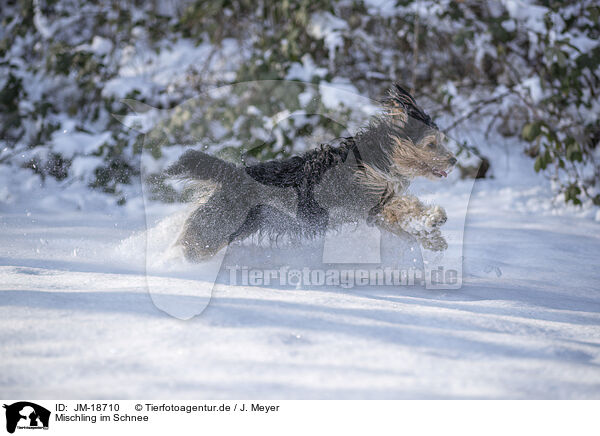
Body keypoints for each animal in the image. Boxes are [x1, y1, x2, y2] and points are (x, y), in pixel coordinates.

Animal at [166, 85, 458, 262]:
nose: (454, 160)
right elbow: (400, 206)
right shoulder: (360, 201)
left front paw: (434, 238)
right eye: (431, 144)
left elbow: (402, 216)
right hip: (221, 223)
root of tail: (234, 173)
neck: (378, 159)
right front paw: (433, 218)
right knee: (191, 242)